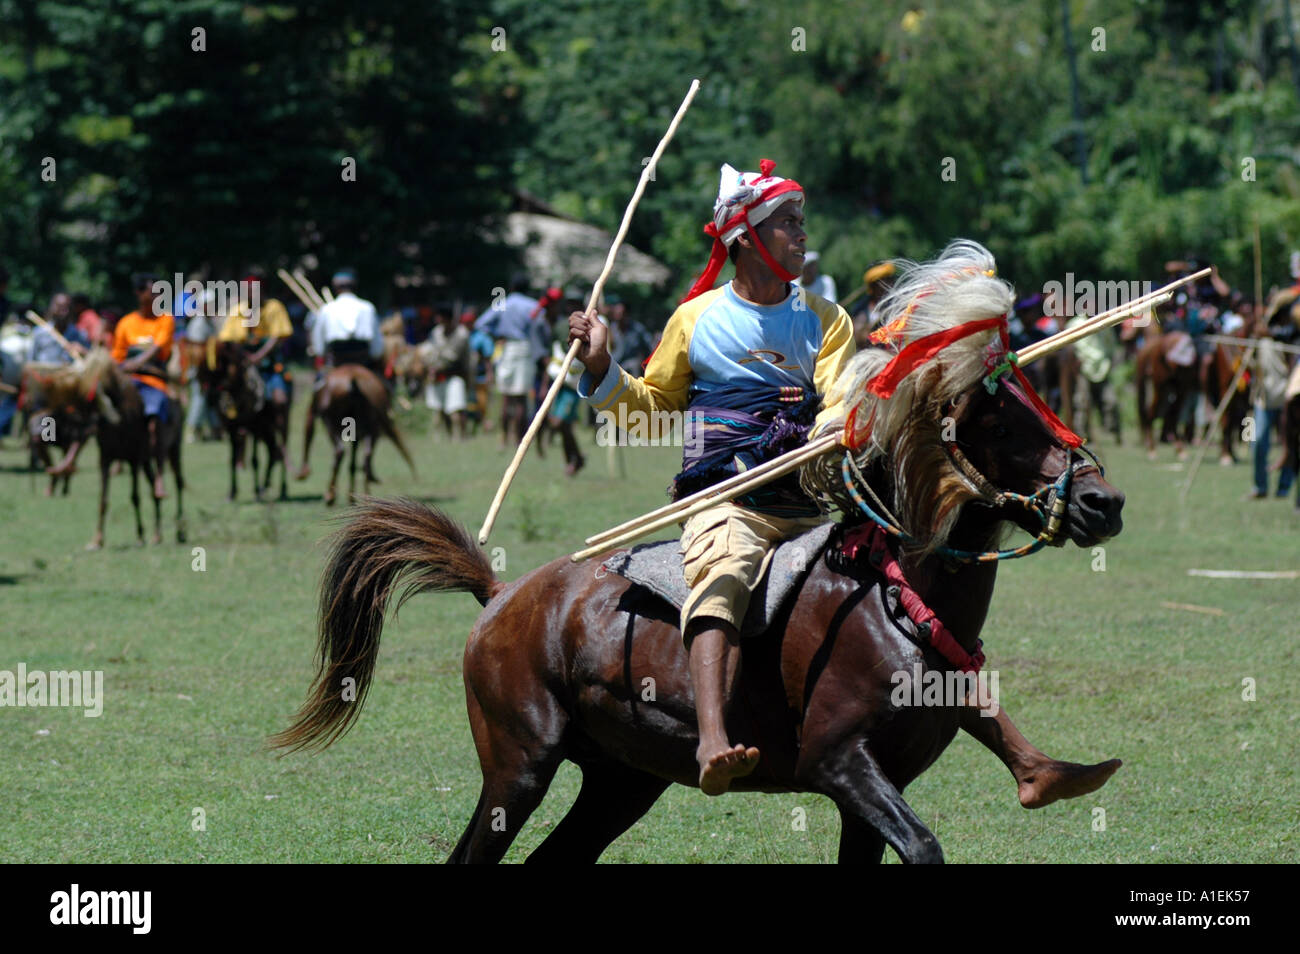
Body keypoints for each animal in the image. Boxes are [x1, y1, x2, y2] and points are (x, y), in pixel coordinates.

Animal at [201, 345, 291, 509]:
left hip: (280, 425)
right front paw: (232, 493)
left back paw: (281, 489)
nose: (209, 397)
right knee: (273, 453)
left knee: (282, 451)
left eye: (219, 367)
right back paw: (265, 486)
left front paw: (255, 493)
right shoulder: (232, 429)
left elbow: (254, 460)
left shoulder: (253, 428)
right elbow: (232, 459)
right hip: (266, 431)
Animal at [296, 361, 413, 504]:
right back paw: (366, 496)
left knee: (340, 451)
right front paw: (352, 497)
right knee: (366, 456)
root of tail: (354, 382)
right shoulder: (358, 434)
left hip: (332, 424)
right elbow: (352, 465)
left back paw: (330, 495)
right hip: (368, 428)